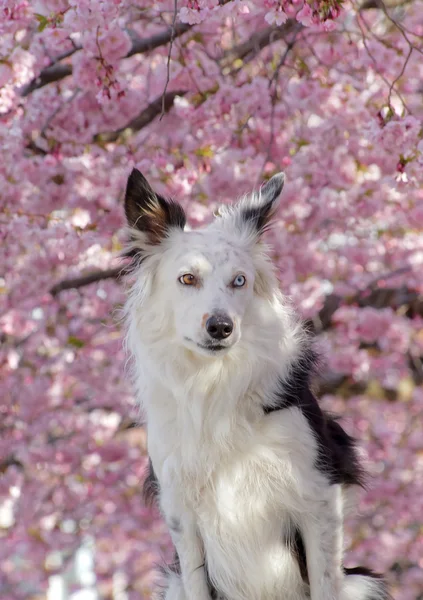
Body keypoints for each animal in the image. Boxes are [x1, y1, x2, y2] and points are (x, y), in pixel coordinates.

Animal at [121, 168, 390, 600]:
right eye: (187, 278)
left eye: (239, 281)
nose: (220, 326)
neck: (214, 382)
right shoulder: (181, 513)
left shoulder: (318, 494)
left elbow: (324, 581)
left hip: (362, 582)